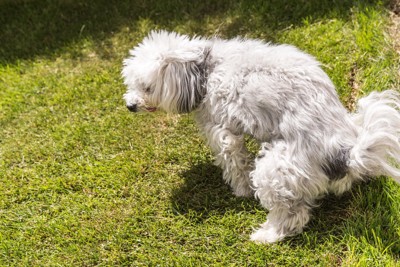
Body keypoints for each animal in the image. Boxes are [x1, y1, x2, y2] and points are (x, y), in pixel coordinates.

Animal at [121, 31, 400, 245]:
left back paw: (267, 235)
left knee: (294, 215)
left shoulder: (224, 133)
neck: (206, 68)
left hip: (275, 171)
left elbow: (235, 164)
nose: (129, 106)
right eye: (132, 83)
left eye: (147, 87)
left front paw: (241, 190)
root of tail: (345, 153)